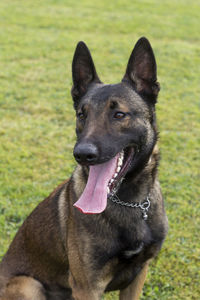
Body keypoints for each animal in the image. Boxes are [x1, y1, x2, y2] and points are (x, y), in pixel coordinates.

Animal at [0, 38, 168, 300]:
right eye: (82, 115)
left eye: (119, 114)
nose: (82, 154)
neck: (130, 202)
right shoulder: (87, 286)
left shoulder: (138, 275)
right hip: (28, 285)